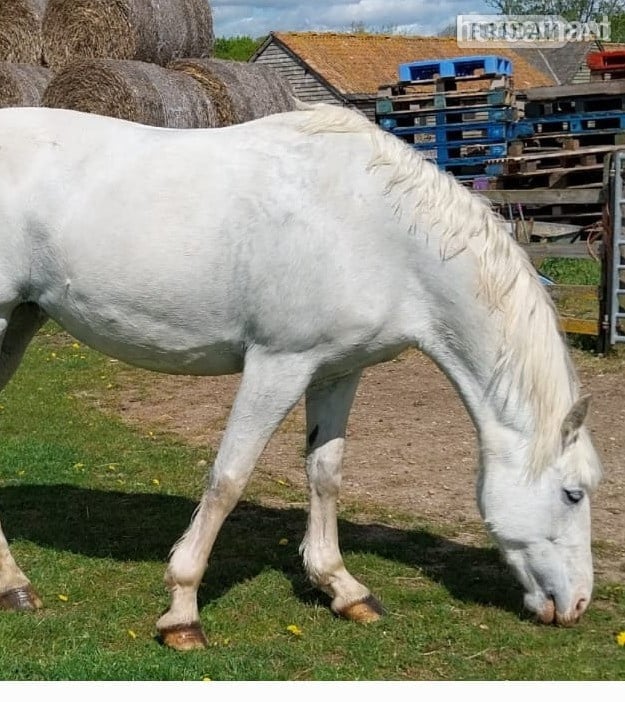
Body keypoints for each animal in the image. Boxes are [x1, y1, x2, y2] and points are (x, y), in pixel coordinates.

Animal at [0, 103, 603, 650]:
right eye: (572, 494)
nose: (577, 605)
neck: (377, 229)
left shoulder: (337, 370)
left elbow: (325, 472)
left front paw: (342, 588)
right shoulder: (278, 364)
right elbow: (228, 479)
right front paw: (182, 612)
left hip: (21, 321)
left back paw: (15, 588)